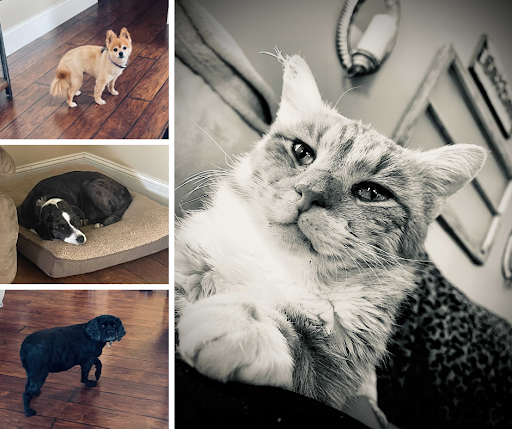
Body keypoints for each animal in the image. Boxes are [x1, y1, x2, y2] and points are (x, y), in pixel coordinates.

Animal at [174, 48, 486, 410]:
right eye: (302, 152)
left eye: (372, 192)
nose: (310, 193)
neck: (281, 268)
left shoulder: (333, 376)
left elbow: (298, 344)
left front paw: (242, 325)